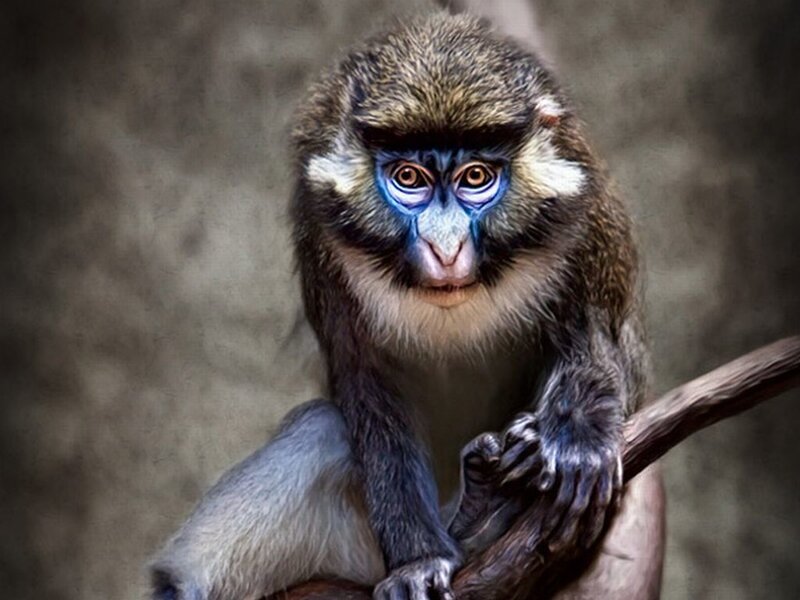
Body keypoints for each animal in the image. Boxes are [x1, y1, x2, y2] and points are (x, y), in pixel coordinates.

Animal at [150, 12, 665, 600]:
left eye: (475, 178)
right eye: (409, 179)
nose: (446, 250)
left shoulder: (589, 221)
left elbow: (597, 335)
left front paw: (577, 443)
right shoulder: (321, 241)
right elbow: (370, 391)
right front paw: (418, 562)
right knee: (322, 433)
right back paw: (478, 517)